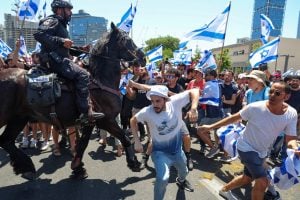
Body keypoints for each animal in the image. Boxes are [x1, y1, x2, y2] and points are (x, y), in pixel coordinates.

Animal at [0, 23, 145, 180]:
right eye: (126, 40)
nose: (143, 58)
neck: (100, 81)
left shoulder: (90, 122)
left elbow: (82, 144)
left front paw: (78, 168)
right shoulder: (106, 120)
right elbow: (125, 137)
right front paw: (134, 163)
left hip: (19, 118)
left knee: (6, 141)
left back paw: (25, 166)